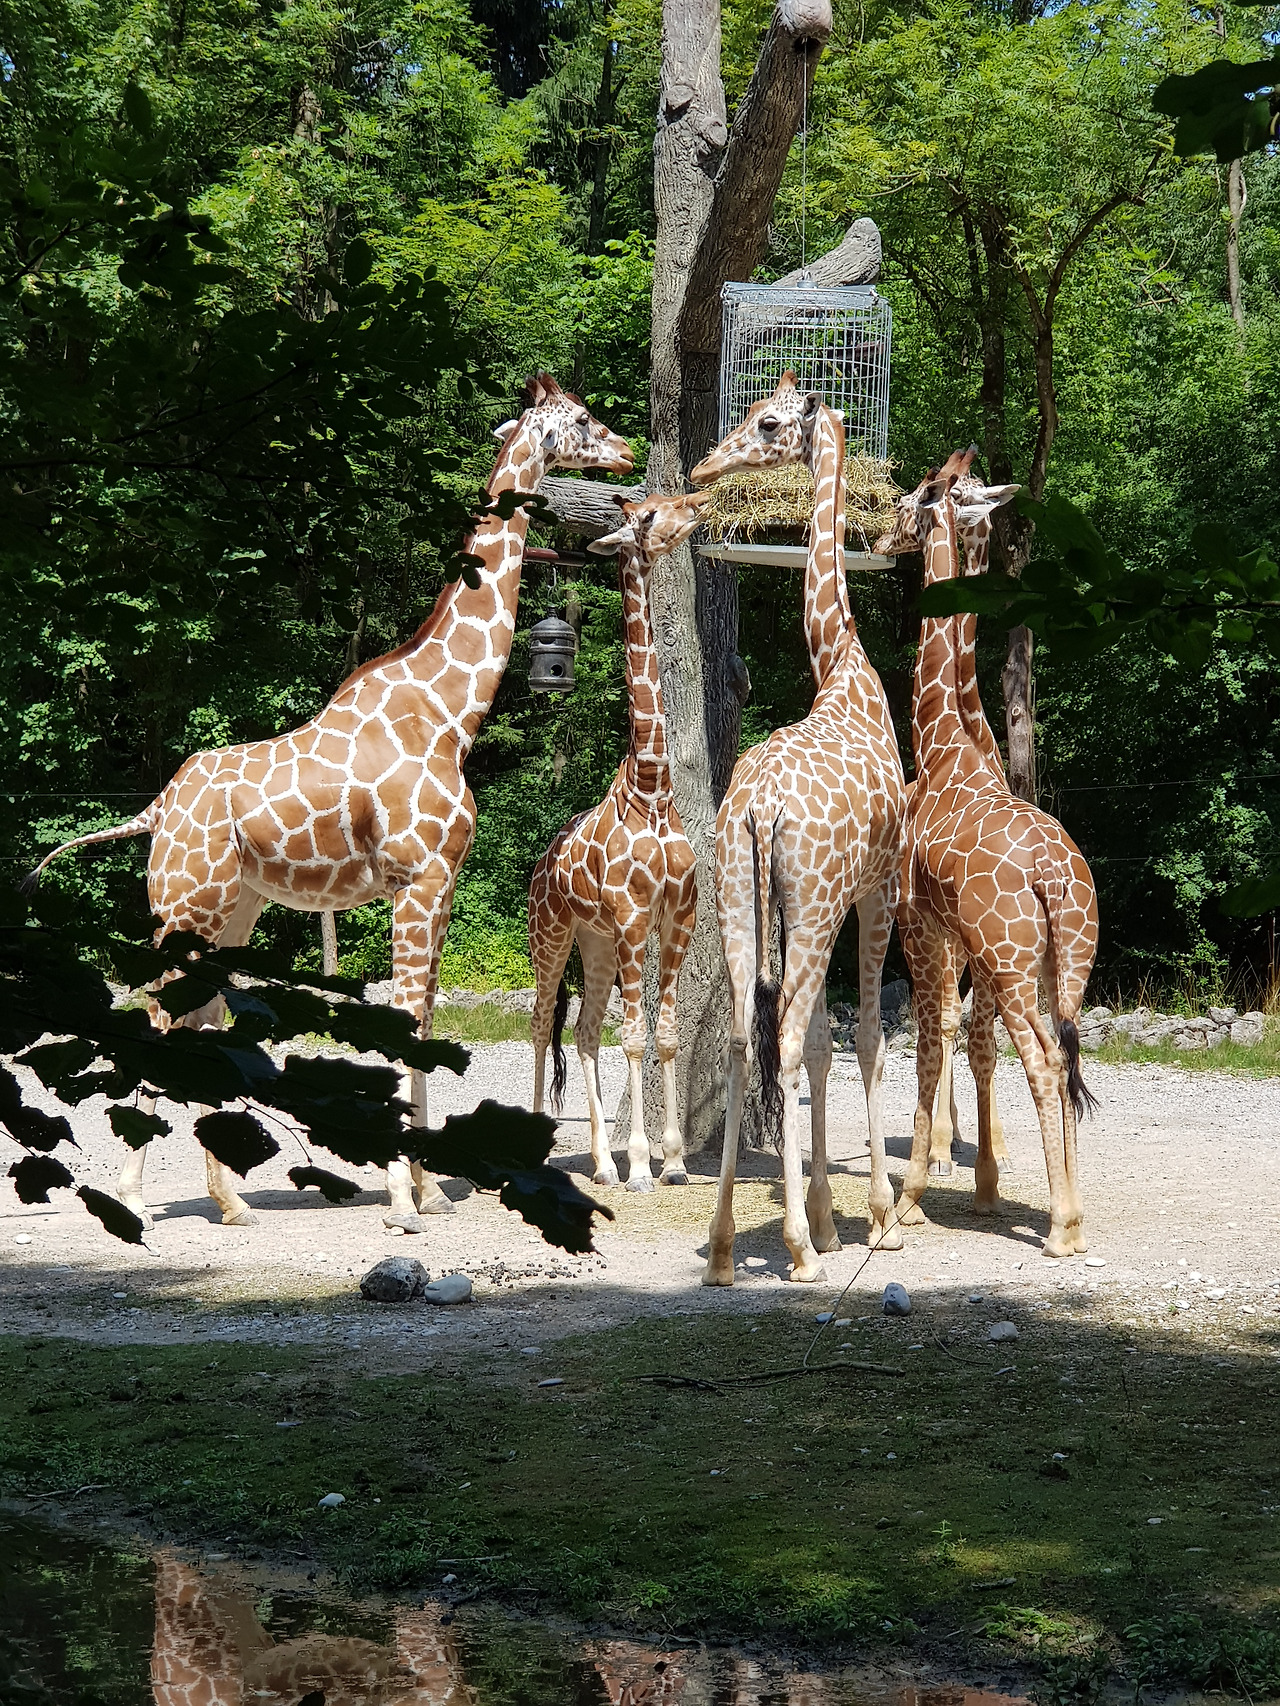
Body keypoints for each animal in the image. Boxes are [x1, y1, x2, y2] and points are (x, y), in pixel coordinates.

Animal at [27, 375, 633, 1232]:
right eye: (580, 418)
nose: (627, 452)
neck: (451, 713)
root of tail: (158, 809)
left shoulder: (441, 884)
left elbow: (427, 1020)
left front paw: (427, 1195)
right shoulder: (415, 879)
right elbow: (407, 1019)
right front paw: (402, 1204)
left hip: (234, 909)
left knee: (201, 1020)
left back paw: (231, 1203)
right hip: (183, 905)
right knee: (157, 1015)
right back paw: (135, 1199)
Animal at [528, 492, 708, 1191]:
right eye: (649, 516)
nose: (696, 505)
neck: (653, 787)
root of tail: (538, 869)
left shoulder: (677, 916)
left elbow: (666, 1034)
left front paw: (674, 1160)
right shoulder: (634, 917)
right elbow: (633, 1037)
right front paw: (640, 1167)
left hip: (594, 940)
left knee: (581, 1031)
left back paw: (601, 1164)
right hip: (552, 936)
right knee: (539, 1023)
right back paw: (548, 1151)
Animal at [875, 457, 1099, 1256]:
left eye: (912, 500)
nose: (878, 536)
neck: (945, 745)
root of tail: (1052, 877)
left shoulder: (921, 924)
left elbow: (934, 1039)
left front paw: (914, 1197)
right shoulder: (953, 937)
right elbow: (960, 1036)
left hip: (1006, 953)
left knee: (1036, 1055)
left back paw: (1060, 1226)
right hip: (1064, 960)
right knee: (1065, 1053)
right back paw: (1068, 1213)